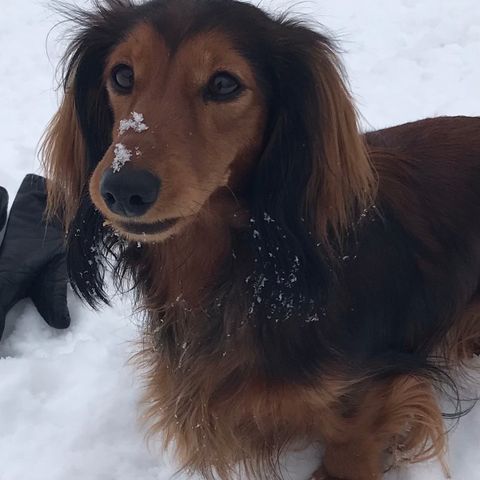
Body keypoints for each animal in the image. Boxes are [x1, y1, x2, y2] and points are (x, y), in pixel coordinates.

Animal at [40, 0, 480, 480]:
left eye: (223, 83)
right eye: (122, 75)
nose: (122, 190)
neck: (253, 273)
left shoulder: (374, 393)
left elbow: (347, 450)